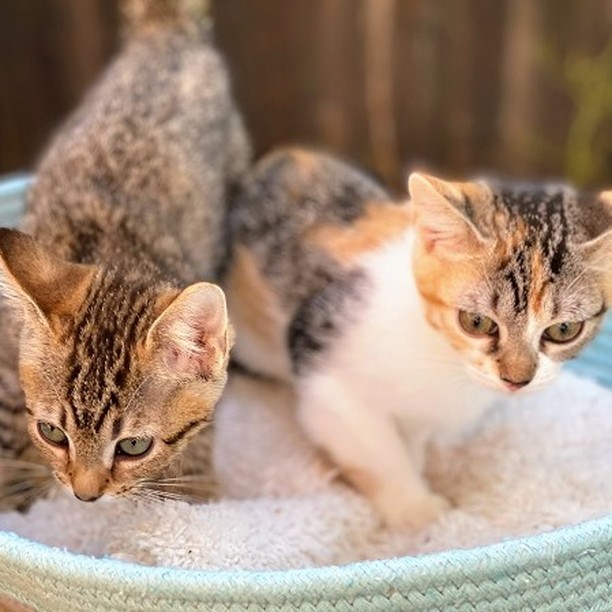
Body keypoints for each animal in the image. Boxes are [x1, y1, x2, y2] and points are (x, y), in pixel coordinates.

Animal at [226, 147, 612, 524]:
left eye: (563, 330)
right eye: (476, 322)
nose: (517, 380)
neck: (442, 356)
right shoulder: (322, 363)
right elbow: (376, 450)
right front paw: (417, 511)